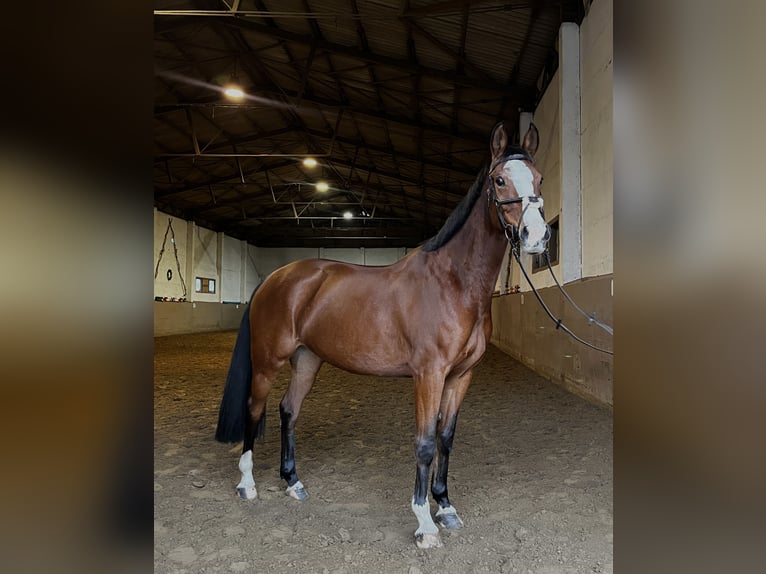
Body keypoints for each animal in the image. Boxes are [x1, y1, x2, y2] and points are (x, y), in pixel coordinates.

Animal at [218, 121, 552, 548]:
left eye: (539, 178)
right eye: (499, 179)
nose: (536, 236)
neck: (453, 282)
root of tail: (275, 277)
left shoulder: (461, 376)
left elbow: (446, 438)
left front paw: (446, 507)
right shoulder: (428, 375)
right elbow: (424, 443)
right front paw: (425, 523)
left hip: (307, 359)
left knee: (288, 410)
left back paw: (293, 482)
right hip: (267, 360)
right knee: (254, 408)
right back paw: (247, 484)